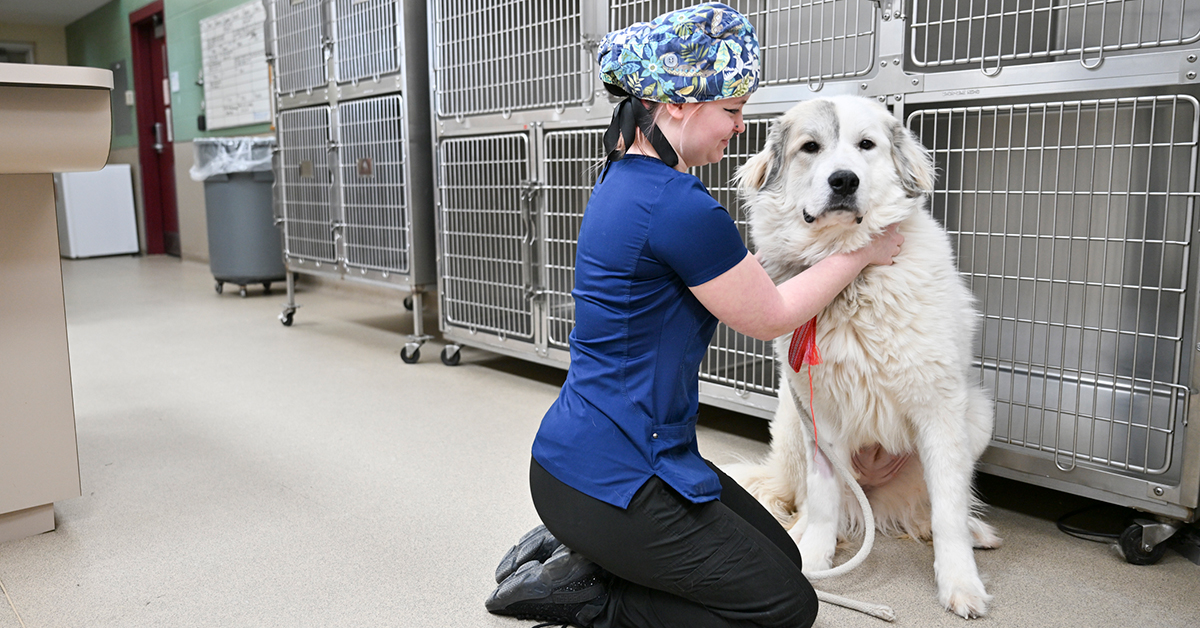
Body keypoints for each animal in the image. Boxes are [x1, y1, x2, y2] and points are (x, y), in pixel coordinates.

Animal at [729, 97, 1003, 619]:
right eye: (810, 148)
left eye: (866, 145)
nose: (844, 181)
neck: (850, 276)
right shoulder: (819, 415)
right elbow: (823, 499)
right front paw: (814, 559)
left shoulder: (940, 409)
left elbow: (949, 507)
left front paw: (960, 584)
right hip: (793, 423)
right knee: (809, 502)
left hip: (977, 413)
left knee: (929, 507)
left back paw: (967, 531)